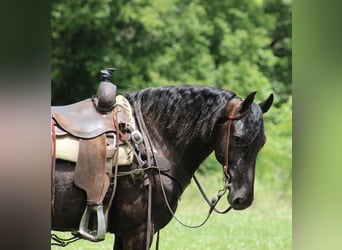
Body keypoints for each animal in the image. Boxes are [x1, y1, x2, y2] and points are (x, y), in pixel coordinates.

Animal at [51, 85, 272, 249]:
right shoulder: (139, 232)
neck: (152, 140)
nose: (243, 198)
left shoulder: (126, 234)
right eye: (237, 138)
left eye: (262, 142)